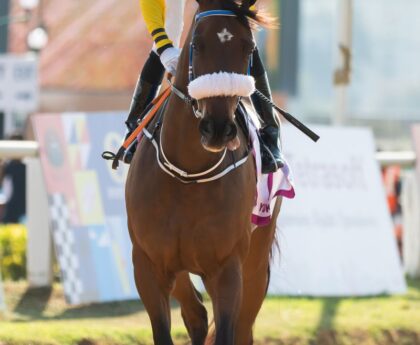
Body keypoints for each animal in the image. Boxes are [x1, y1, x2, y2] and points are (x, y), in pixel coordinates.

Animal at [124, 1, 282, 342]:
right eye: (197, 44)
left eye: (249, 48)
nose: (218, 128)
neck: (187, 173)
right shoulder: (148, 265)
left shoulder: (227, 270)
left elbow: (227, 330)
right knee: (195, 313)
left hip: (256, 261)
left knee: (242, 328)